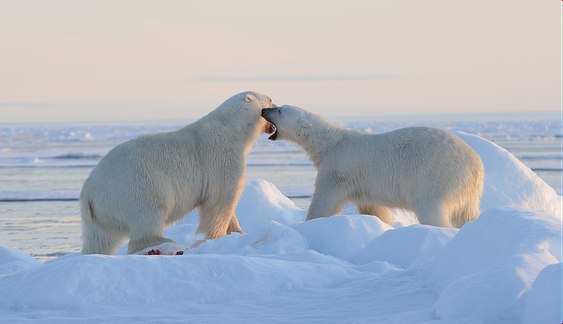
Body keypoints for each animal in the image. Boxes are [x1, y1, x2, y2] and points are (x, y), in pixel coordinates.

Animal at [80, 90, 278, 253]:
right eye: (270, 100)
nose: (276, 106)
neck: (232, 127)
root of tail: (89, 192)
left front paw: (239, 231)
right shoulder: (222, 157)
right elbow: (221, 200)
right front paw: (217, 237)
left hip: (99, 217)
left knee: (99, 240)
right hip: (136, 188)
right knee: (150, 214)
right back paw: (162, 242)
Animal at [262, 105, 482, 227]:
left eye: (279, 109)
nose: (264, 109)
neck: (329, 143)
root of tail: (476, 166)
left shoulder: (338, 170)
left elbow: (324, 202)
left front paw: (308, 223)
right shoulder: (364, 186)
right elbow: (374, 209)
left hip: (436, 176)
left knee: (431, 209)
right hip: (466, 192)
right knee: (467, 214)